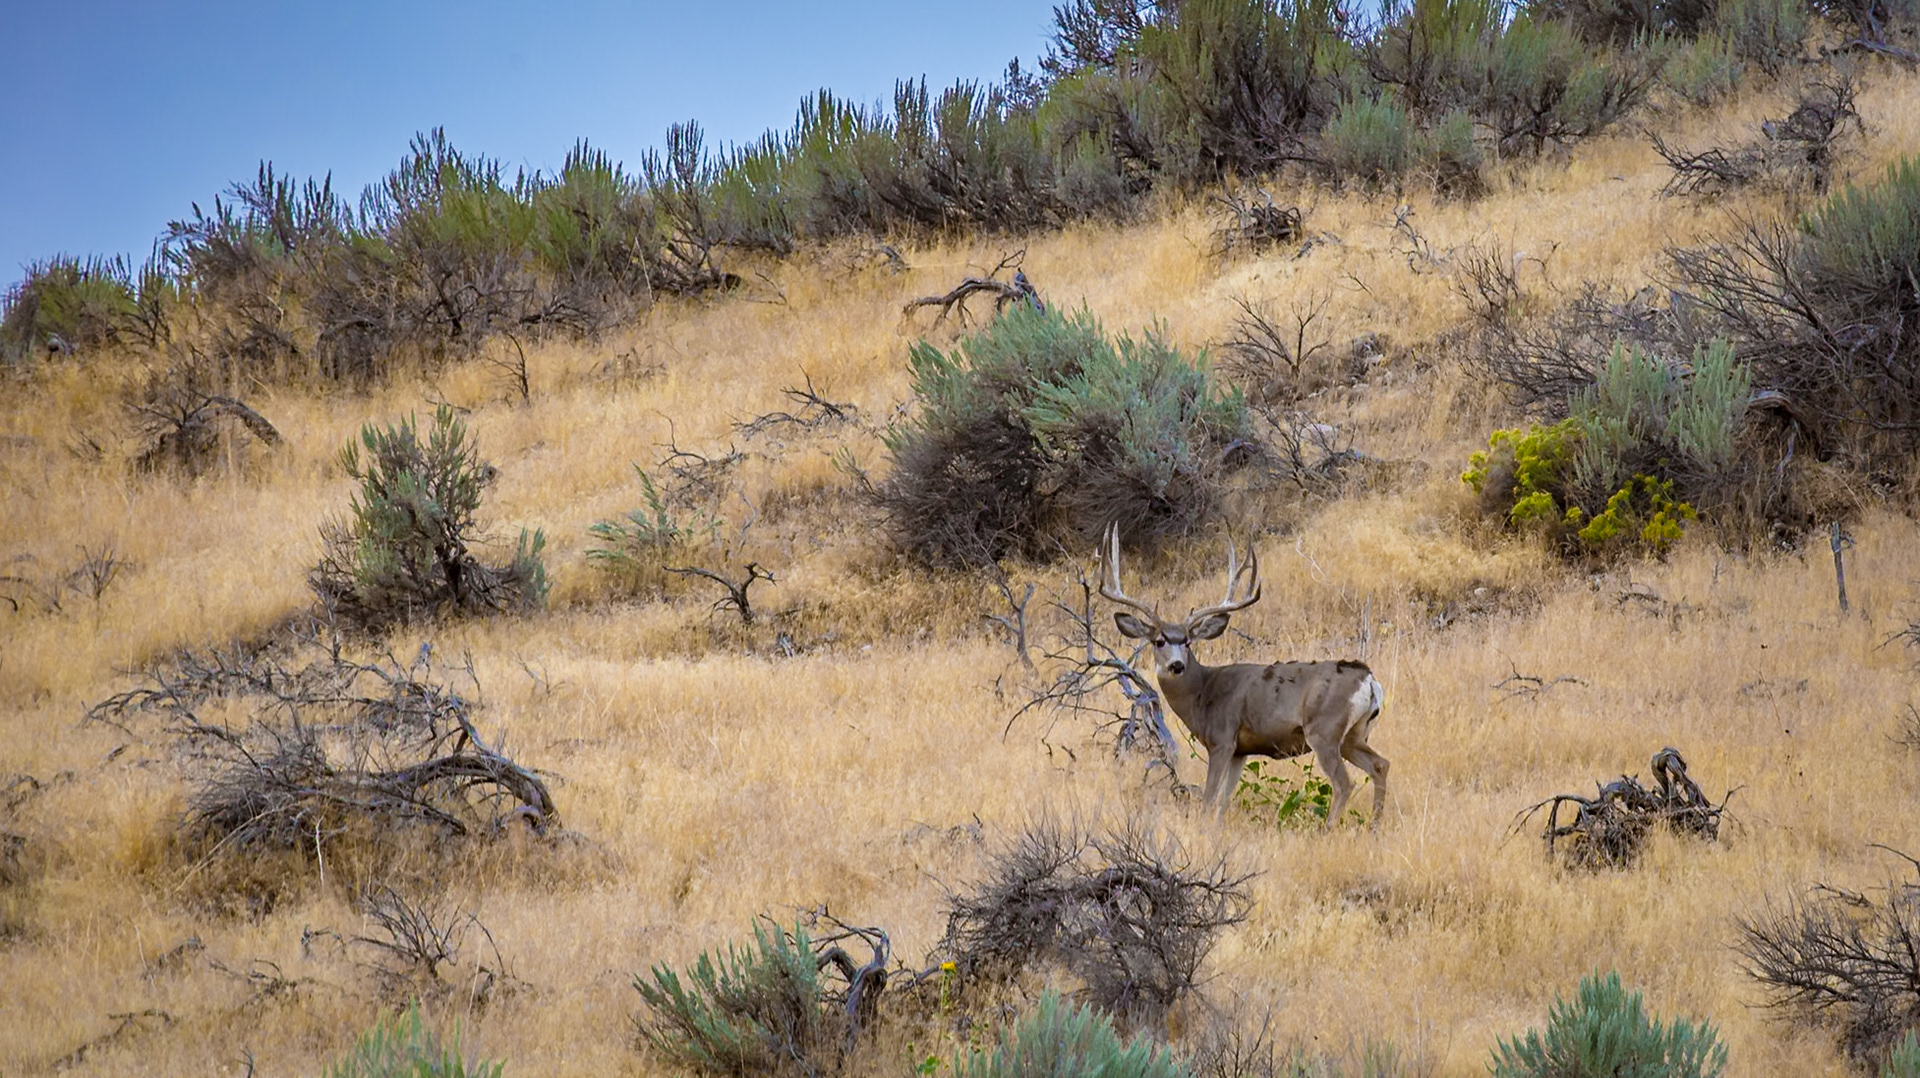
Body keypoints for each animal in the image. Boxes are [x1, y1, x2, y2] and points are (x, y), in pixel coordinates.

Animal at [1098, 524, 1388, 829]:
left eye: (1187, 641)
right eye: (1159, 641)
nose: (1177, 666)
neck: (1201, 694)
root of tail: (1369, 680)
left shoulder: (1222, 738)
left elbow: (1210, 797)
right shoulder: (1241, 749)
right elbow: (1225, 799)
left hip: (1325, 729)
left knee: (1345, 782)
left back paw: (1329, 828)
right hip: (1354, 734)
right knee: (1380, 764)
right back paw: (1374, 826)